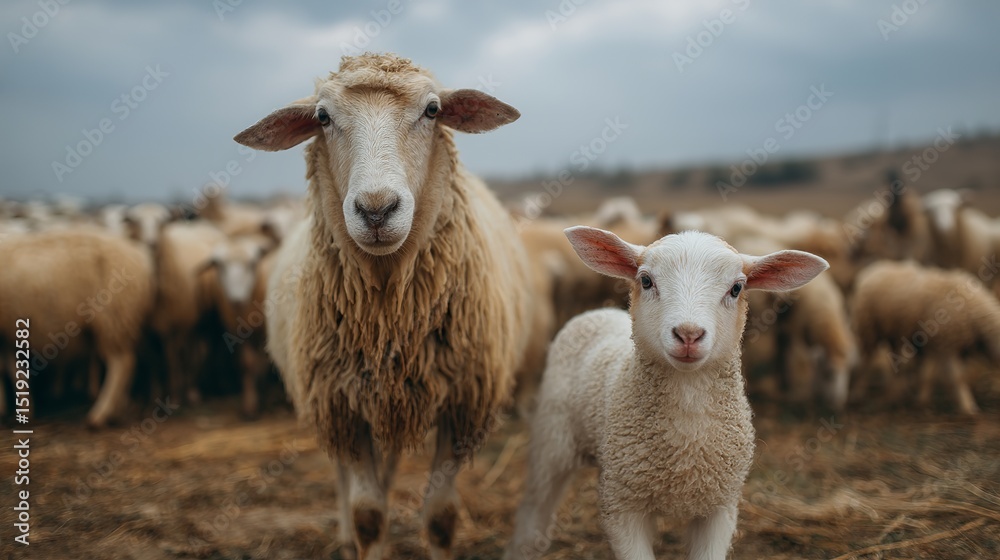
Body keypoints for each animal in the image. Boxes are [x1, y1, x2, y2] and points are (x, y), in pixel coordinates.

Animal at [0, 227, 154, 427]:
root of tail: (140, 256)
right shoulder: (8, 333)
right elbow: (14, 370)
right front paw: (24, 410)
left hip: (113, 317)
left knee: (121, 364)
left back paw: (100, 415)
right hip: (121, 319)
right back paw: (117, 411)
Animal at [239, 53, 536, 559]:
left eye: (433, 110)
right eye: (322, 117)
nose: (377, 211)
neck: (389, 313)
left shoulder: (461, 404)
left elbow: (440, 517)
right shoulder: (341, 404)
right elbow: (368, 515)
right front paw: (362, 533)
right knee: (346, 477)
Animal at [506, 227, 828, 560]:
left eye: (737, 288)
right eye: (646, 281)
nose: (688, 334)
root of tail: (600, 311)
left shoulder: (720, 508)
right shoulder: (621, 506)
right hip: (552, 439)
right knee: (534, 507)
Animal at [850, 260, 1000, 415]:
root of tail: (873, 269)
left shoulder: (940, 345)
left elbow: (929, 376)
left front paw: (923, 401)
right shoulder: (946, 345)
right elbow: (957, 378)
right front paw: (968, 407)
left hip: (893, 333)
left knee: (894, 362)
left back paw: (896, 394)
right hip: (868, 329)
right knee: (866, 362)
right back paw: (858, 394)